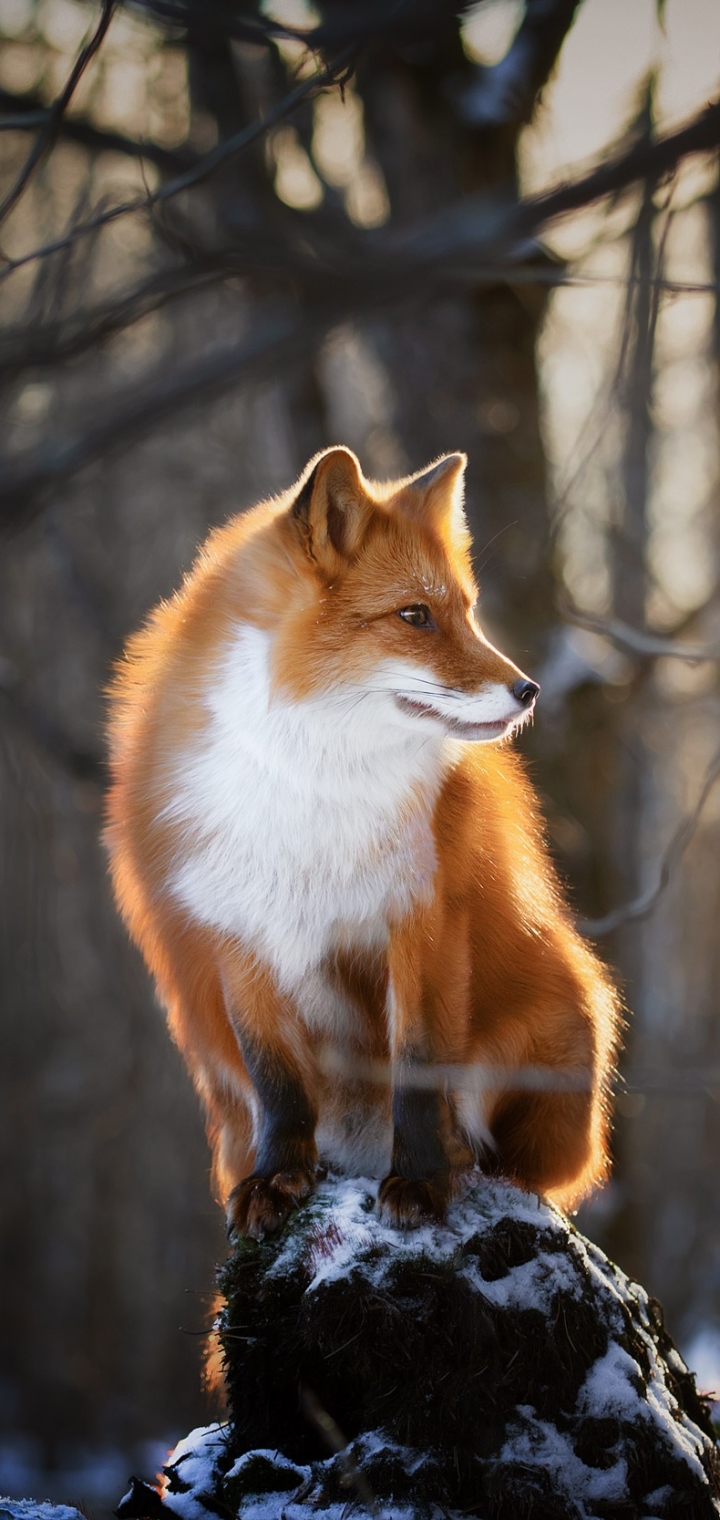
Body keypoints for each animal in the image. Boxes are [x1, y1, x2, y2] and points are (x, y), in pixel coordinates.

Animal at [104, 443, 622, 1240]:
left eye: (466, 612)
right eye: (415, 615)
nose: (530, 690)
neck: (311, 786)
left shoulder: (422, 920)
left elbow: (419, 1071)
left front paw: (423, 1181)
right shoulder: (239, 938)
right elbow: (279, 1085)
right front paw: (278, 1178)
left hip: (566, 1015)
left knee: (526, 1165)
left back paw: (465, 1164)